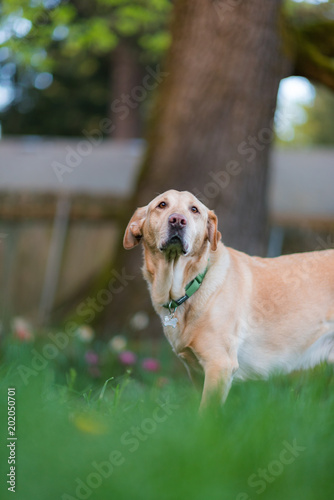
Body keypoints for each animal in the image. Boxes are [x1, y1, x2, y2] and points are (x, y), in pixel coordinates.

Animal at [123, 188, 334, 406]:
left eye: (194, 209)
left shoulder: (219, 365)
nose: (178, 220)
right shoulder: (197, 372)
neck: (188, 286)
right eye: (162, 205)